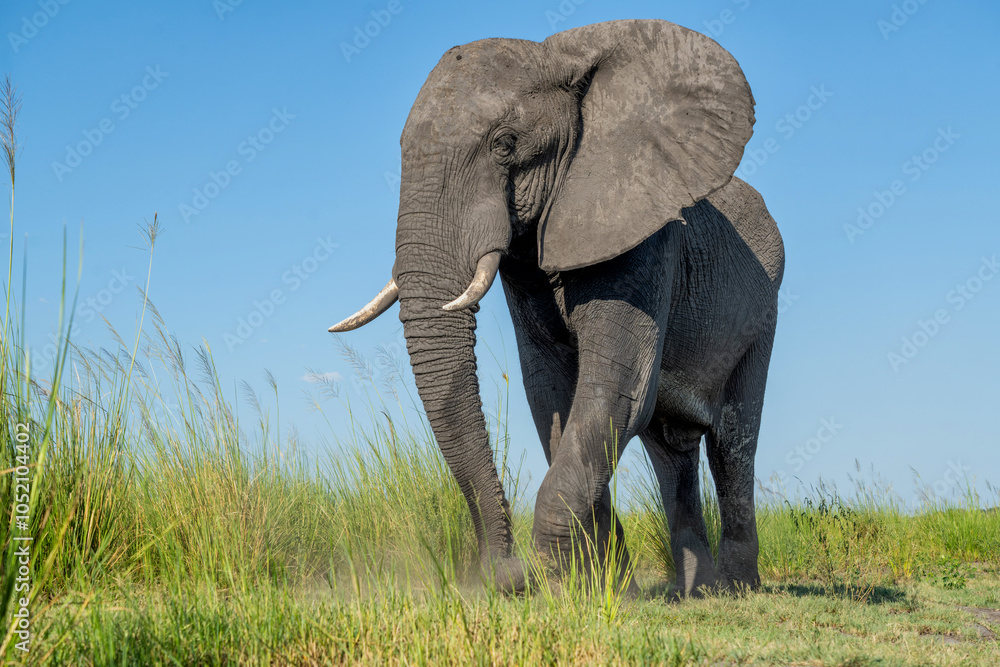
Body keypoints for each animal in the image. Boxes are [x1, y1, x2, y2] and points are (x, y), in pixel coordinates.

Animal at [330, 19, 784, 596]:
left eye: (505, 145)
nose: (502, 572)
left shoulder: (645, 235)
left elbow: (615, 389)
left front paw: (557, 582)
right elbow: (552, 392)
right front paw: (601, 587)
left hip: (763, 311)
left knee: (731, 441)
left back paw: (733, 589)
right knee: (670, 450)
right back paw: (692, 593)